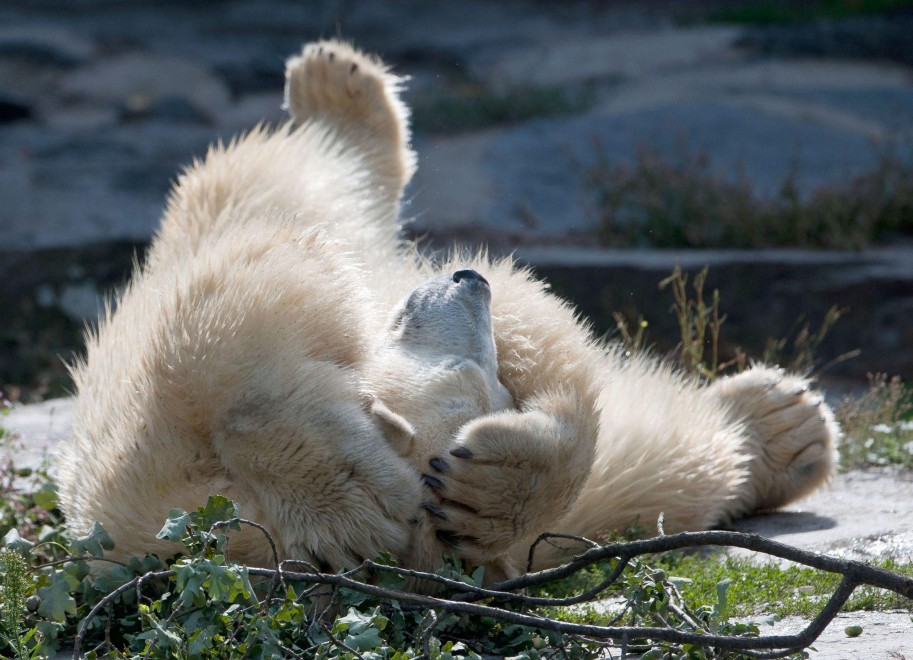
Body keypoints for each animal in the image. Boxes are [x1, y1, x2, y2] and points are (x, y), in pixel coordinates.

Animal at [57, 40, 839, 582]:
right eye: (475, 376)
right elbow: (246, 310)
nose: (467, 282)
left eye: (496, 387)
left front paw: (485, 491)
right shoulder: (139, 475)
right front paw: (349, 491)